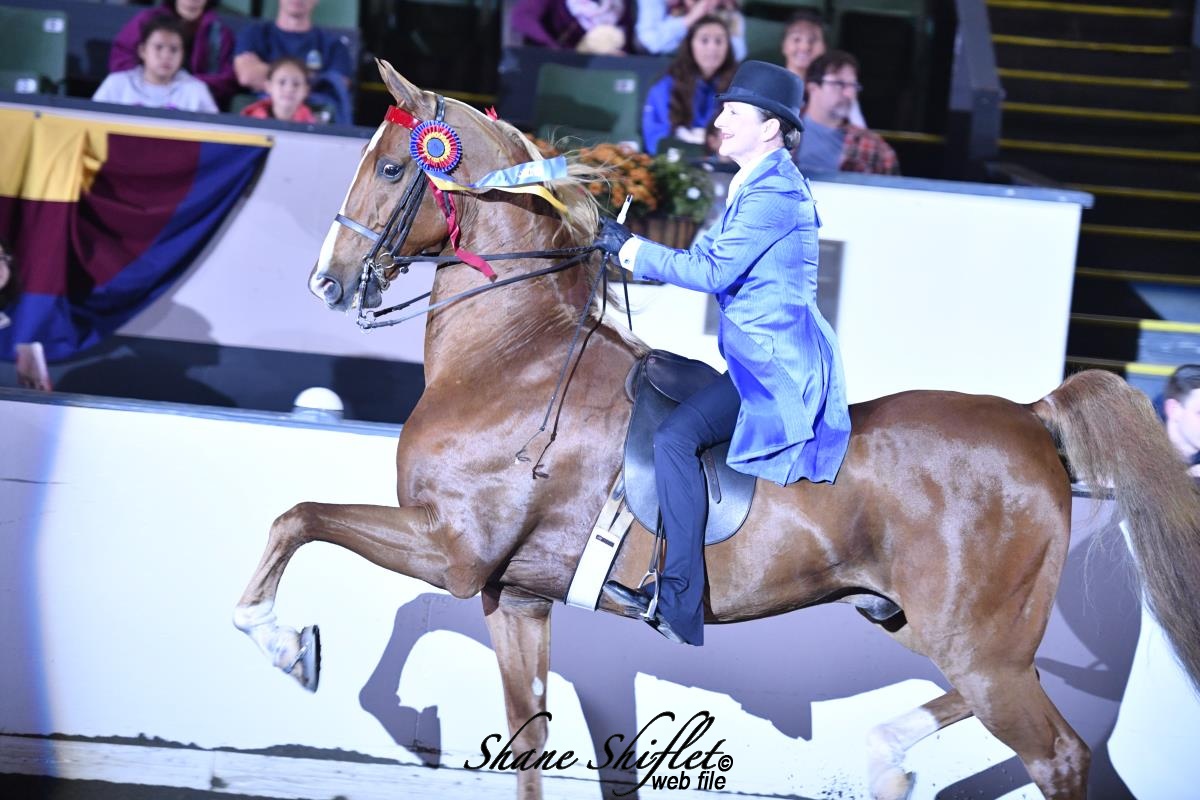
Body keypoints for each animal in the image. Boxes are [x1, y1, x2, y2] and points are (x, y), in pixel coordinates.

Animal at [233, 61, 1200, 800]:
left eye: (397, 169)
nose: (327, 282)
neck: (513, 360)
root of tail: (1029, 416)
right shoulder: (516, 595)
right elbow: (528, 745)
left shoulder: (452, 548)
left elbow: (299, 519)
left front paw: (284, 644)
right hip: (946, 633)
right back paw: (887, 759)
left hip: (980, 647)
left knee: (1059, 755)